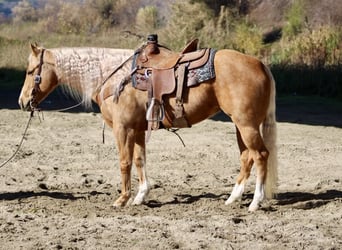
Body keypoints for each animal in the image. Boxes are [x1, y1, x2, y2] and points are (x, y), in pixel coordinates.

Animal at [19, 41, 278, 211]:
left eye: (31, 71)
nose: (22, 102)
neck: (113, 76)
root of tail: (259, 64)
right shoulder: (138, 130)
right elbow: (139, 160)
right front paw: (140, 196)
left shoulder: (122, 128)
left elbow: (124, 162)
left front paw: (122, 199)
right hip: (240, 126)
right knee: (247, 157)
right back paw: (232, 199)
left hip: (247, 125)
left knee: (261, 155)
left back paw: (255, 202)